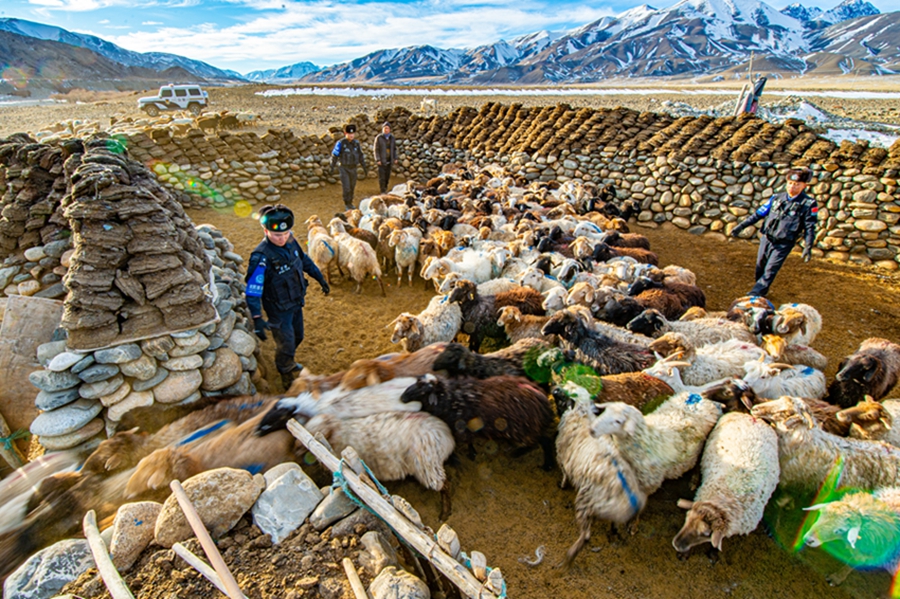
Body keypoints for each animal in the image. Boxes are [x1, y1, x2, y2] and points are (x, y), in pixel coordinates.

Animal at [400, 372, 556, 472]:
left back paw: (538, 461)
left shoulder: (460, 428)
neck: (450, 398)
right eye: (416, 382)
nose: (403, 397)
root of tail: (544, 401)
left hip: (526, 428)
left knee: (542, 441)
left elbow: (463, 443)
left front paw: (464, 457)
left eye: (425, 390)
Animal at [556, 400, 648, 568]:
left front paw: (562, 484)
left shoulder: (562, 459)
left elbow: (565, 475)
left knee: (586, 535)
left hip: (585, 502)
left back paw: (569, 558)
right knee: (614, 525)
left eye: (563, 401)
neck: (581, 418)